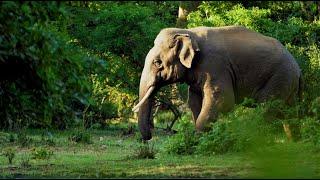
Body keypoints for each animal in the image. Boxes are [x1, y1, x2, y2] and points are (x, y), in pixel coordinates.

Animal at [132, 25, 302, 141]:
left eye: (157, 63)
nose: (149, 137)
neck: (189, 33)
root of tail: (298, 68)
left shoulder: (215, 66)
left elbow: (222, 101)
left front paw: (196, 140)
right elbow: (195, 101)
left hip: (278, 77)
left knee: (267, 109)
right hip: (287, 81)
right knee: (288, 112)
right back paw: (293, 142)